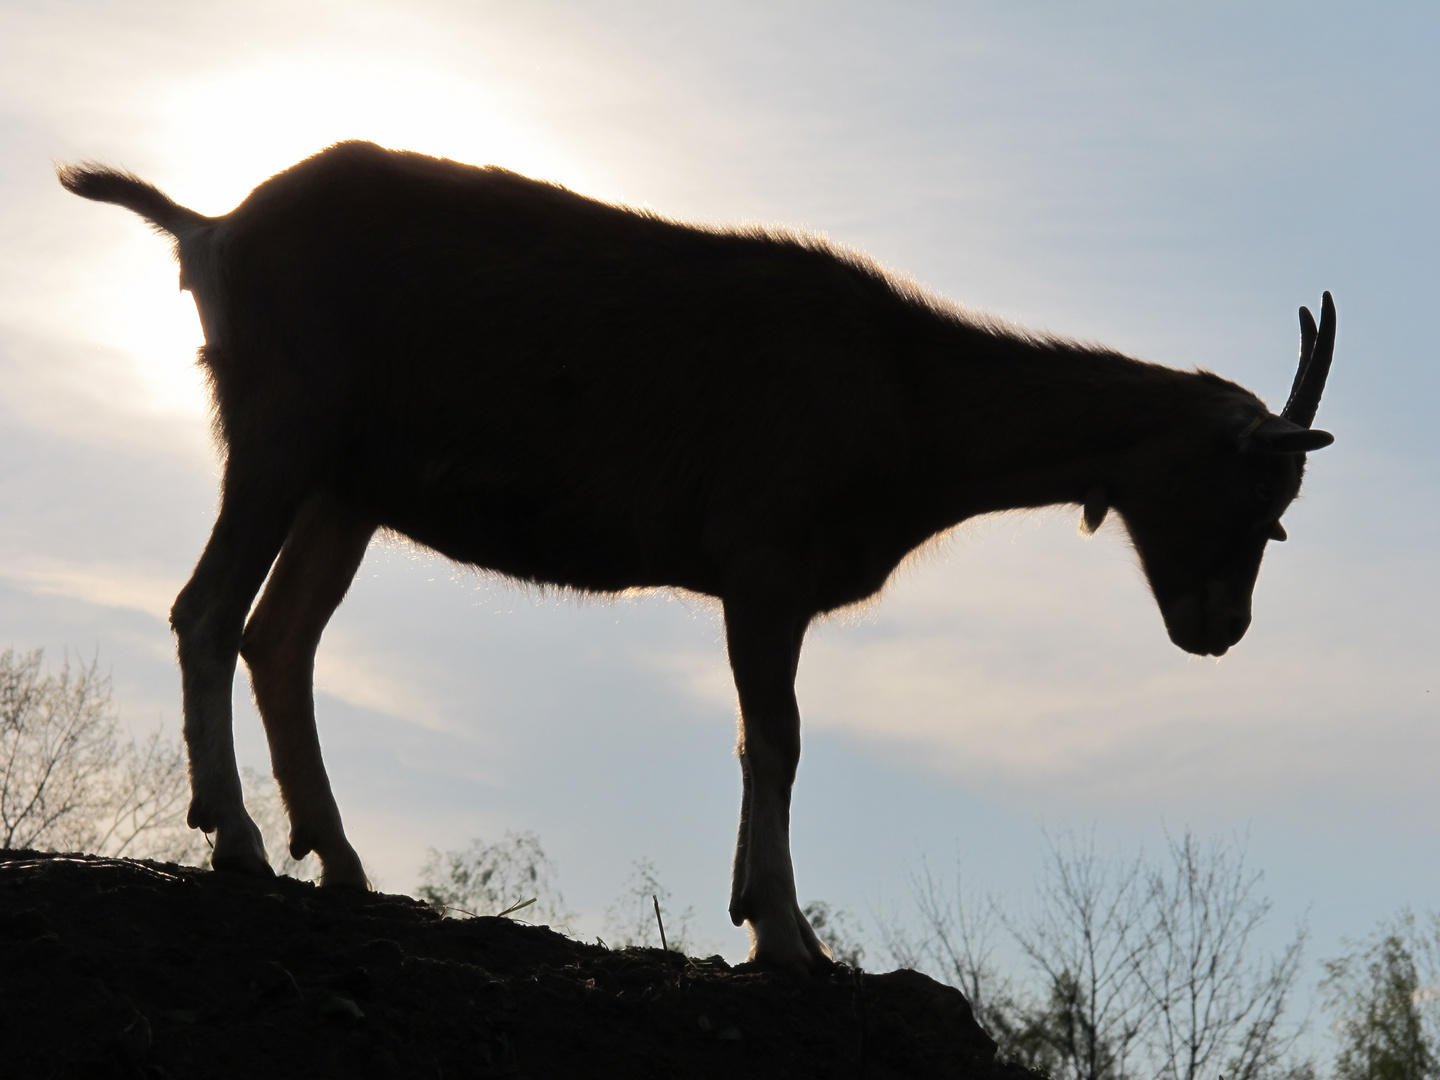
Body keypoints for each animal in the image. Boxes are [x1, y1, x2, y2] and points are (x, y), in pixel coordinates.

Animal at [59, 141, 1336, 973]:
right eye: (1260, 501)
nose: (1220, 629)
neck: (913, 400)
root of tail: (210, 228)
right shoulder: (763, 557)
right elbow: (776, 737)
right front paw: (787, 932)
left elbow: (756, 738)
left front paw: (748, 911)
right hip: (284, 429)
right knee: (206, 611)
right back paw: (239, 842)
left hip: (346, 485)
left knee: (282, 639)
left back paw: (340, 858)